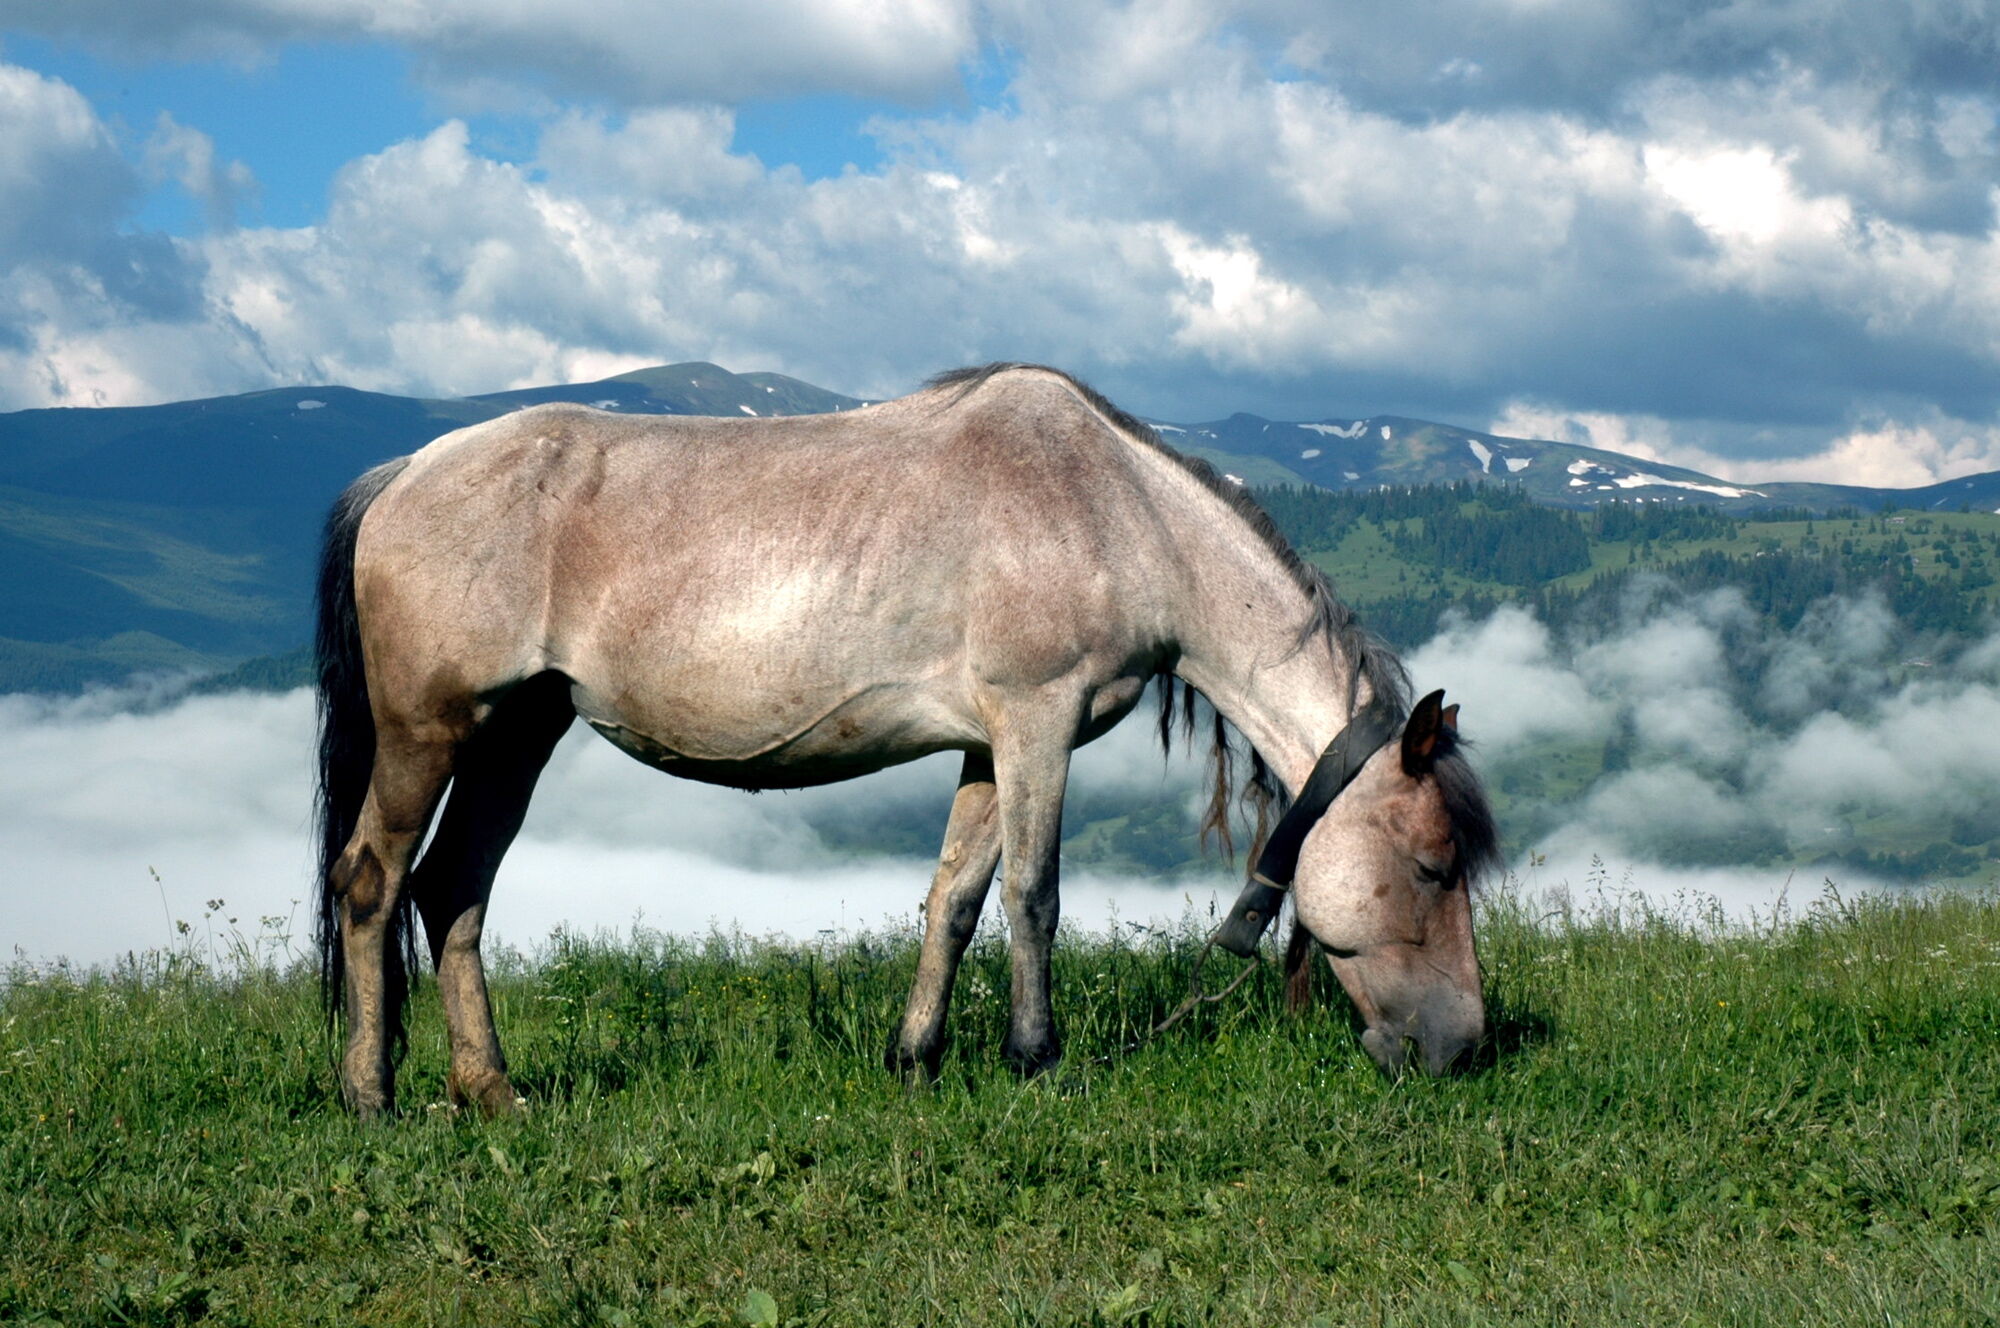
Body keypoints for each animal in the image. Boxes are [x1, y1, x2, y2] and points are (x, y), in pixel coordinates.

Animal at [312, 358, 1504, 1112]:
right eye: (1433, 865)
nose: (1462, 1047)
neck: (1116, 512)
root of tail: (403, 474)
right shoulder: (1036, 724)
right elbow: (1032, 894)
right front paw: (1036, 1059)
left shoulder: (989, 746)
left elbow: (954, 901)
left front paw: (915, 1058)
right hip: (428, 729)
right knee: (373, 880)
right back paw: (372, 1094)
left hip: (517, 730)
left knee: (453, 890)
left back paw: (491, 1091)